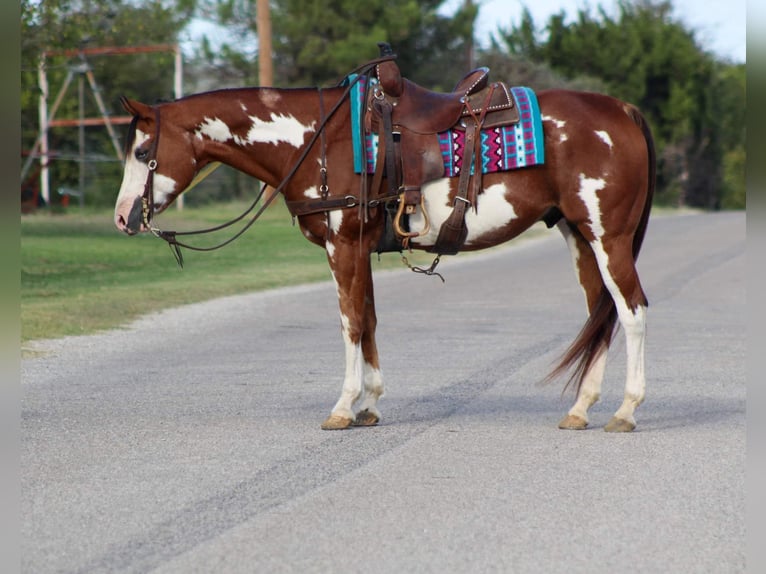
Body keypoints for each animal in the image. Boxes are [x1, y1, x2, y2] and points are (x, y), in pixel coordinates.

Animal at [114, 50, 655, 432]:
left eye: (142, 151)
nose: (122, 217)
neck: (318, 139)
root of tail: (623, 109)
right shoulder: (361, 250)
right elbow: (369, 319)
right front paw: (369, 404)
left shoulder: (343, 246)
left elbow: (350, 323)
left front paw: (342, 407)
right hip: (580, 236)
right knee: (601, 313)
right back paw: (581, 409)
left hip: (608, 237)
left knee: (631, 312)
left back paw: (626, 411)